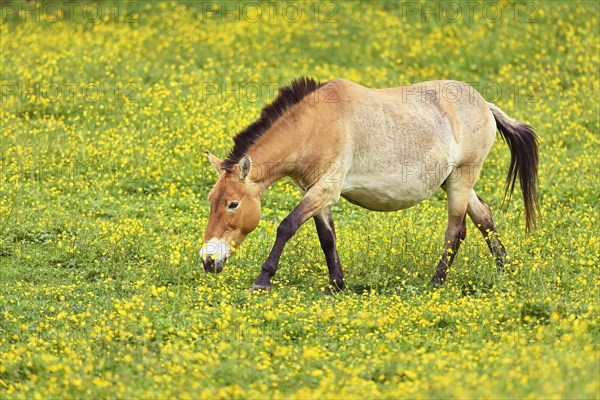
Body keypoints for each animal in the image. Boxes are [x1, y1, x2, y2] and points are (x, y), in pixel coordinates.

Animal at [198, 77, 540, 290]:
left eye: (233, 204)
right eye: (211, 200)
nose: (208, 260)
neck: (315, 126)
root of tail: (485, 104)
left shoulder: (325, 189)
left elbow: (286, 226)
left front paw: (262, 281)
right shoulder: (314, 192)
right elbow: (327, 238)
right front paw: (337, 285)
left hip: (461, 179)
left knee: (455, 231)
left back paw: (436, 282)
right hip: (454, 181)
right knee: (484, 217)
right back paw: (504, 271)